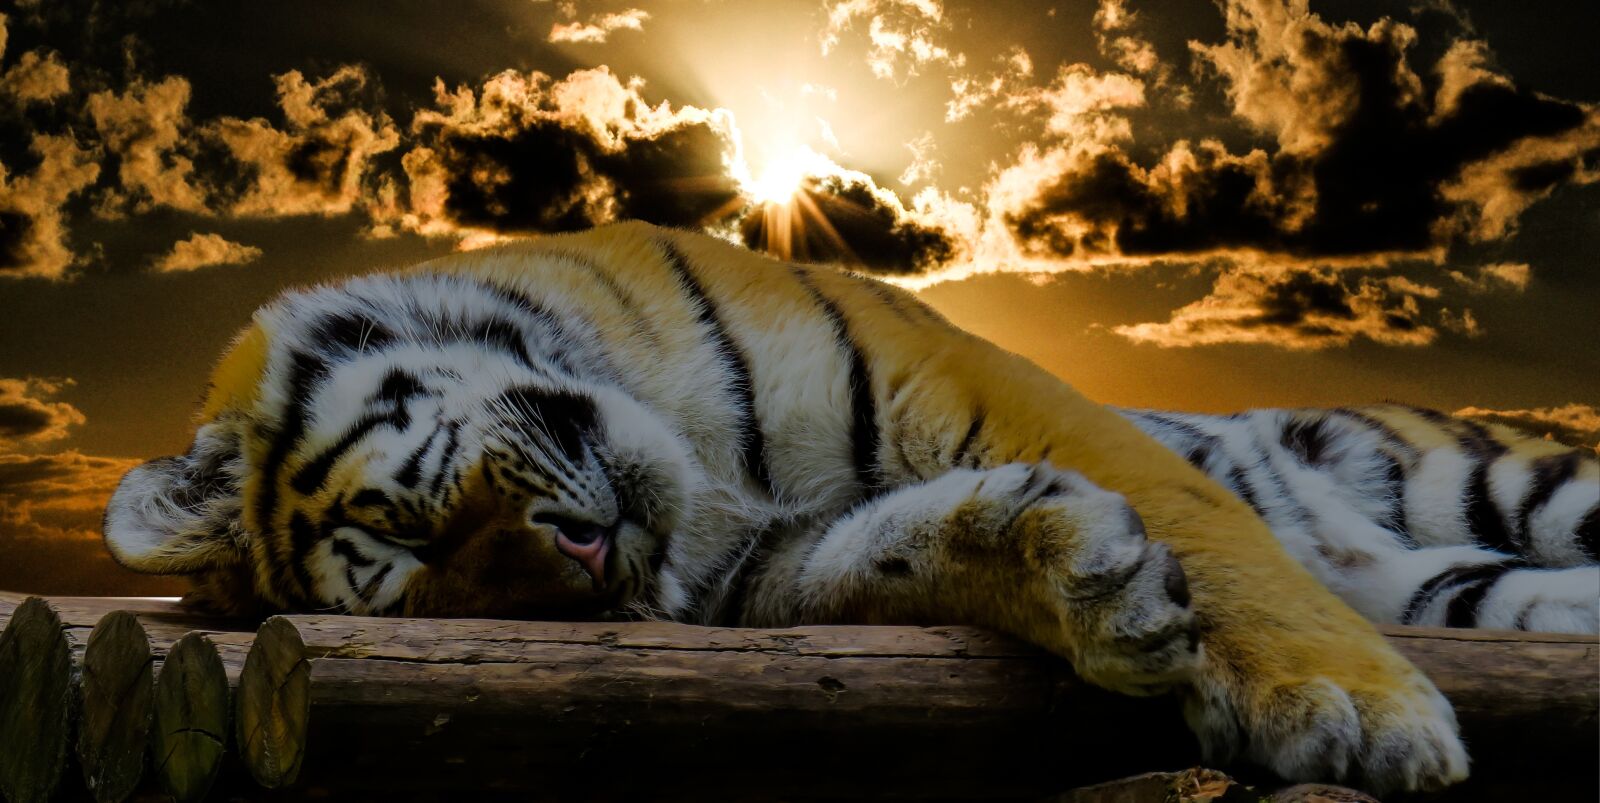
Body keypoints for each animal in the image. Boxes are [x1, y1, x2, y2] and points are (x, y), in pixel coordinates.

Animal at [100, 220, 1597, 793]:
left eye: (419, 536)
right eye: (456, 591)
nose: (589, 557)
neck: (701, 466)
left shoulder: (965, 372)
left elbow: (1211, 523)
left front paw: (1348, 706)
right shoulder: (769, 568)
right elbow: (895, 553)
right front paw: (1089, 572)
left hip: (1504, 479)